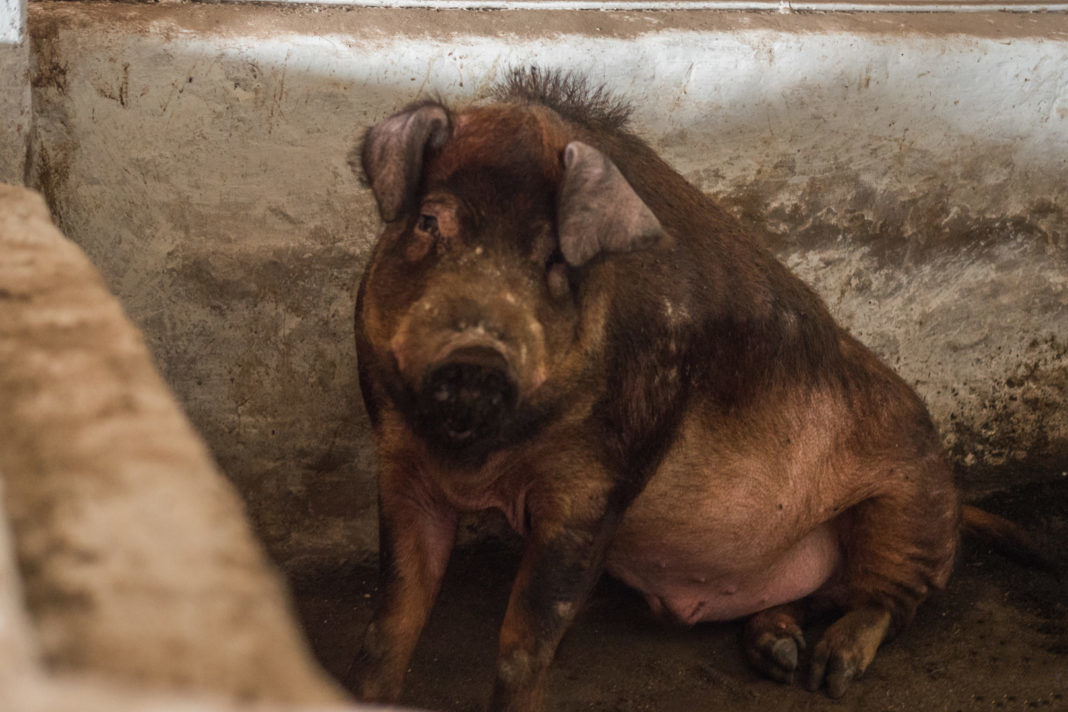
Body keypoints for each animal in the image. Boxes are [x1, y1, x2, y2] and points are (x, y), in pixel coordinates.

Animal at [348, 68, 961, 712]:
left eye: (554, 257)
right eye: (428, 223)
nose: (476, 353)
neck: (475, 463)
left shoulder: (597, 486)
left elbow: (527, 641)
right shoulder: (398, 458)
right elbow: (390, 624)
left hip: (910, 509)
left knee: (885, 604)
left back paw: (828, 674)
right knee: (809, 597)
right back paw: (779, 654)